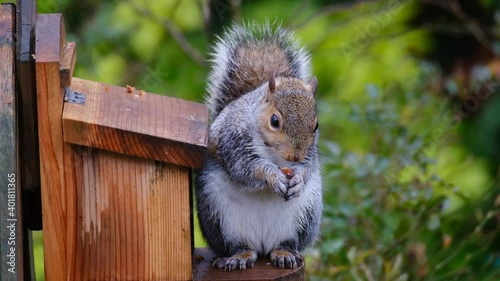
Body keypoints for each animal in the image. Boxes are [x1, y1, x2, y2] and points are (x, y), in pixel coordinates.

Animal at [195, 22, 324, 272]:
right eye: (275, 121)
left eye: (316, 126)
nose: (294, 156)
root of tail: (263, 245)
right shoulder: (233, 142)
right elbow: (246, 169)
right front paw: (272, 176)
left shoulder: (310, 154)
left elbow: (308, 167)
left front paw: (298, 178)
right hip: (220, 218)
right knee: (238, 245)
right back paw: (239, 257)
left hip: (305, 216)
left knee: (287, 243)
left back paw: (284, 253)